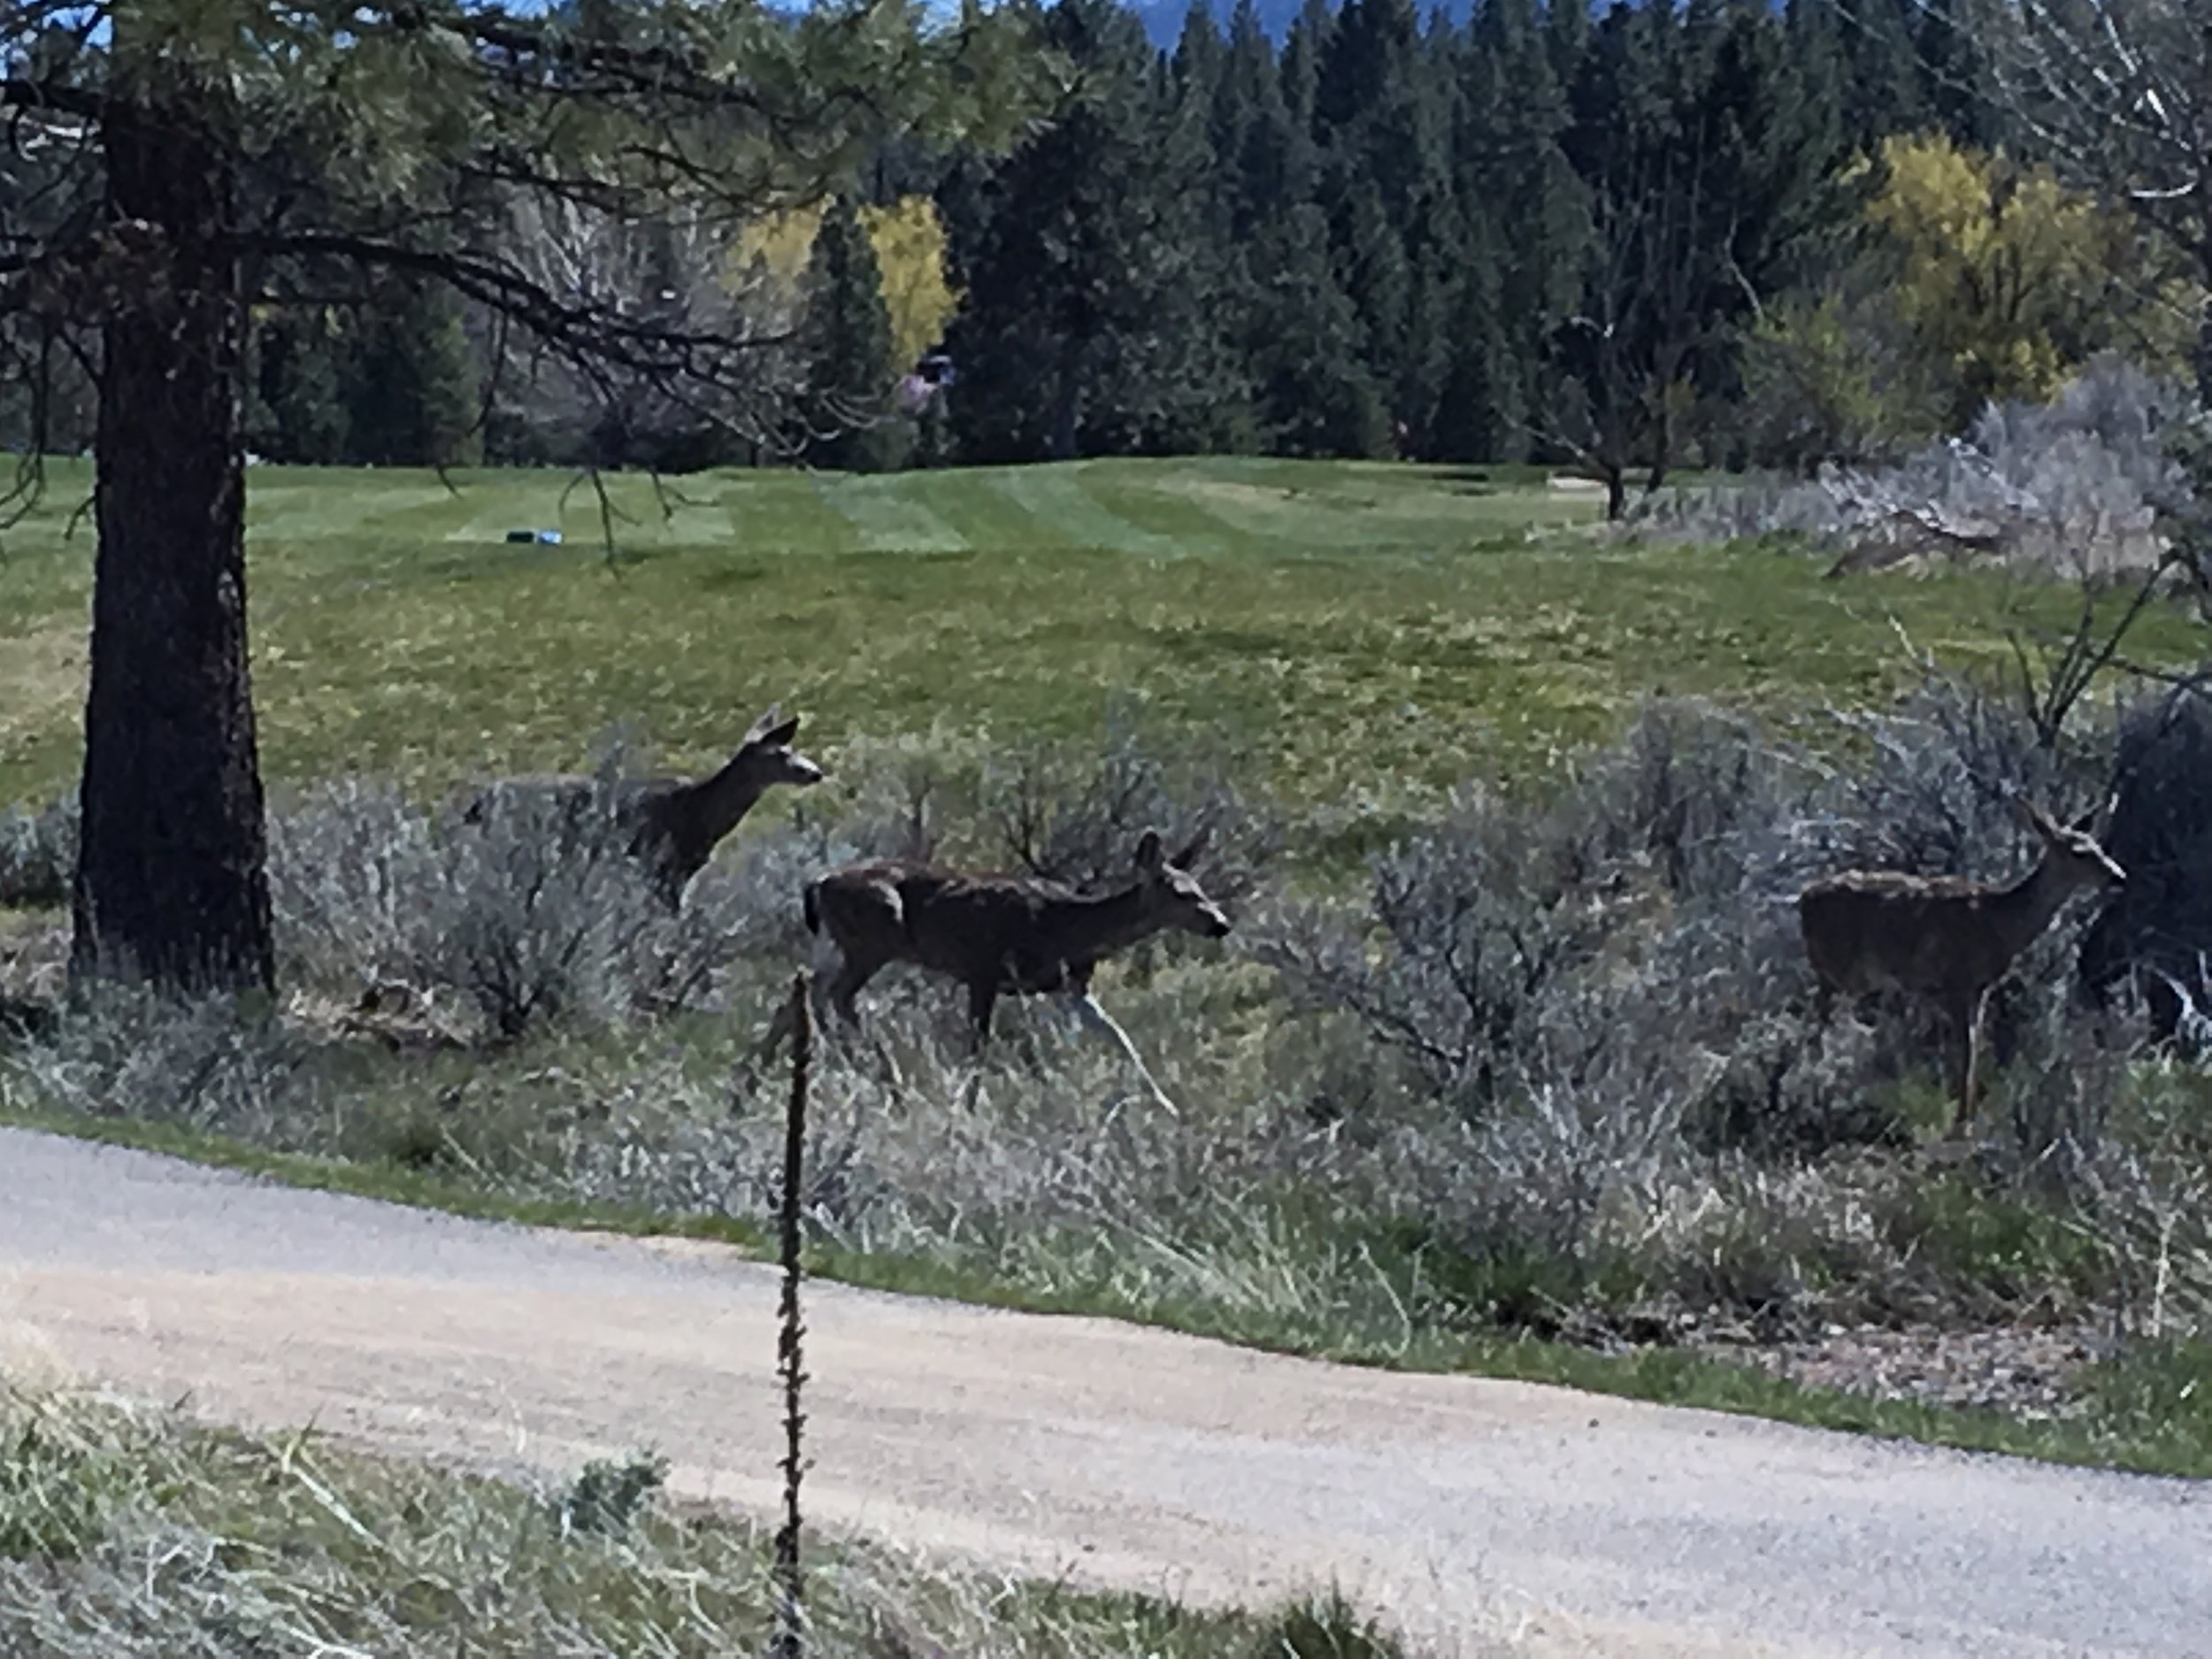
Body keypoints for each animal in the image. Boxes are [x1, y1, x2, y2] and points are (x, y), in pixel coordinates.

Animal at [462, 703, 827, 911]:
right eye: (779, 753)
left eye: (790, 749)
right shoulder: (662, 866)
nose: (815, 773)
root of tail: (481, 801)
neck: (700, 813)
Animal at [765, 832, 1239, 1119]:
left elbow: (1119, 1036)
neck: (1067, 928)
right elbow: (978, 1048)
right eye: (1179, 892)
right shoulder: (984, 970)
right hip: (874, 938)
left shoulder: (1070, 987)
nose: (1221, 924)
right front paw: (968, 1111)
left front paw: (1167, 1106)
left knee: (801, 993)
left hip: (834, 943)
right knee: (837, 996)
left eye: (1200, 887)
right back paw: (884, 1077)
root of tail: (818, 883)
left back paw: (759, 1078)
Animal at [1796, 796, 2124, 1141]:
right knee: (1813, 1028)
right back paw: (1812, 1099)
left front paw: (1969, 1117)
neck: (2001, 923)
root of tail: (1804, 898)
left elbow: (1975, 1044)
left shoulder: (1980, 988)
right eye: (2079, 852)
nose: (2119, 877)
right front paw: (1961, 1124)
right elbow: (1965, 1048)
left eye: (2099, 846)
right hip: (1837, 970)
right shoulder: (1954, 981)